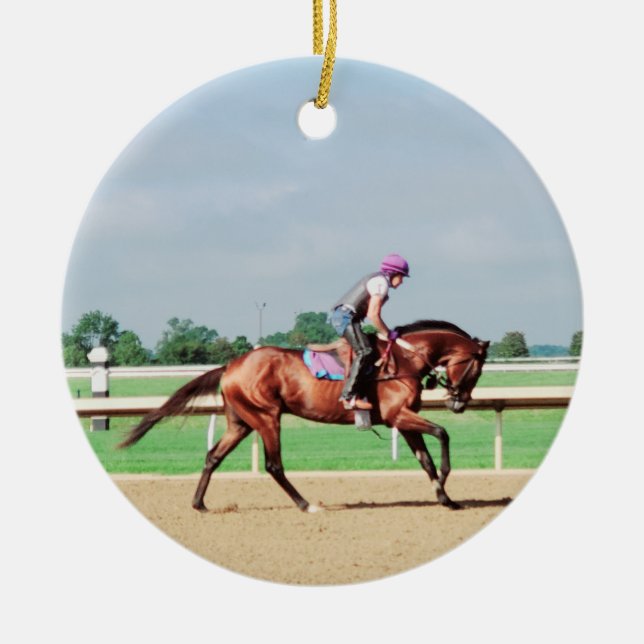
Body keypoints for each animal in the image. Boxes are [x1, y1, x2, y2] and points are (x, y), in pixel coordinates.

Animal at [118, 320, 489, 512]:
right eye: (477, 370)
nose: (459, 403)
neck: (403, 360)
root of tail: (231, 365)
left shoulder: (401, 419)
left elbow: (425, 459)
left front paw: (446, 498)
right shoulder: (399, 414)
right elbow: (442, 434)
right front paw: (445, 480)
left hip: (241, 422)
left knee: (213, 456)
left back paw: (199, 503)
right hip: (267, 417)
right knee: (274, 465)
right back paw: (306, 504)